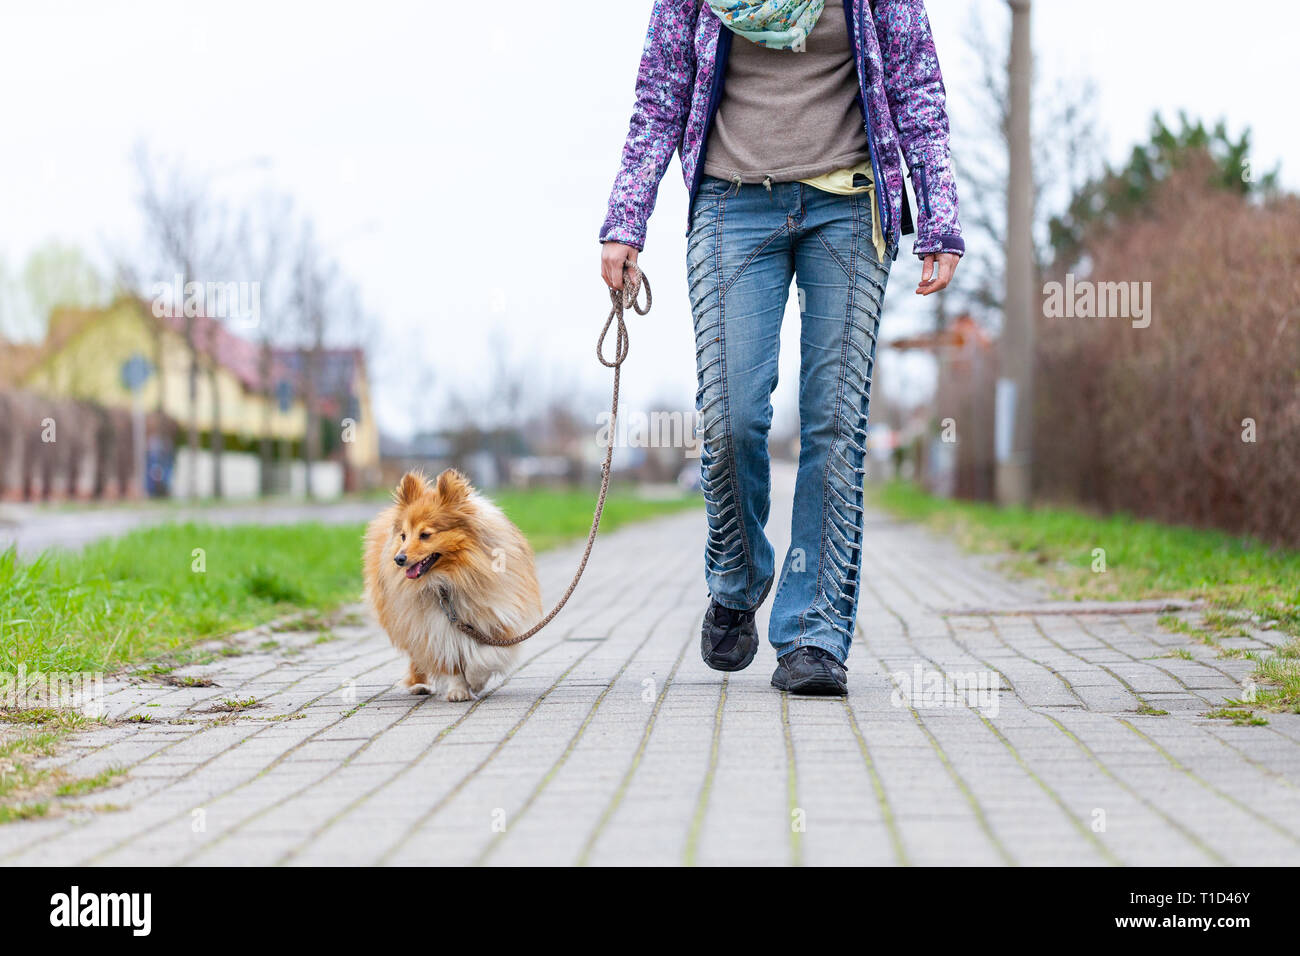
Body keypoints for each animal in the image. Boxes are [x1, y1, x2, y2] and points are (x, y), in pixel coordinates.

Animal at [366, 470, 543, 702]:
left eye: (425, 535)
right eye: (403, 536)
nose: (399, 558)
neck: (449, 580)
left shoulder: (496, 618)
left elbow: (487, 655)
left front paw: (476, 681)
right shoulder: (433, 626)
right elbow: (449, 661)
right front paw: (458, 690)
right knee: (416, 654)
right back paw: (419, 684)